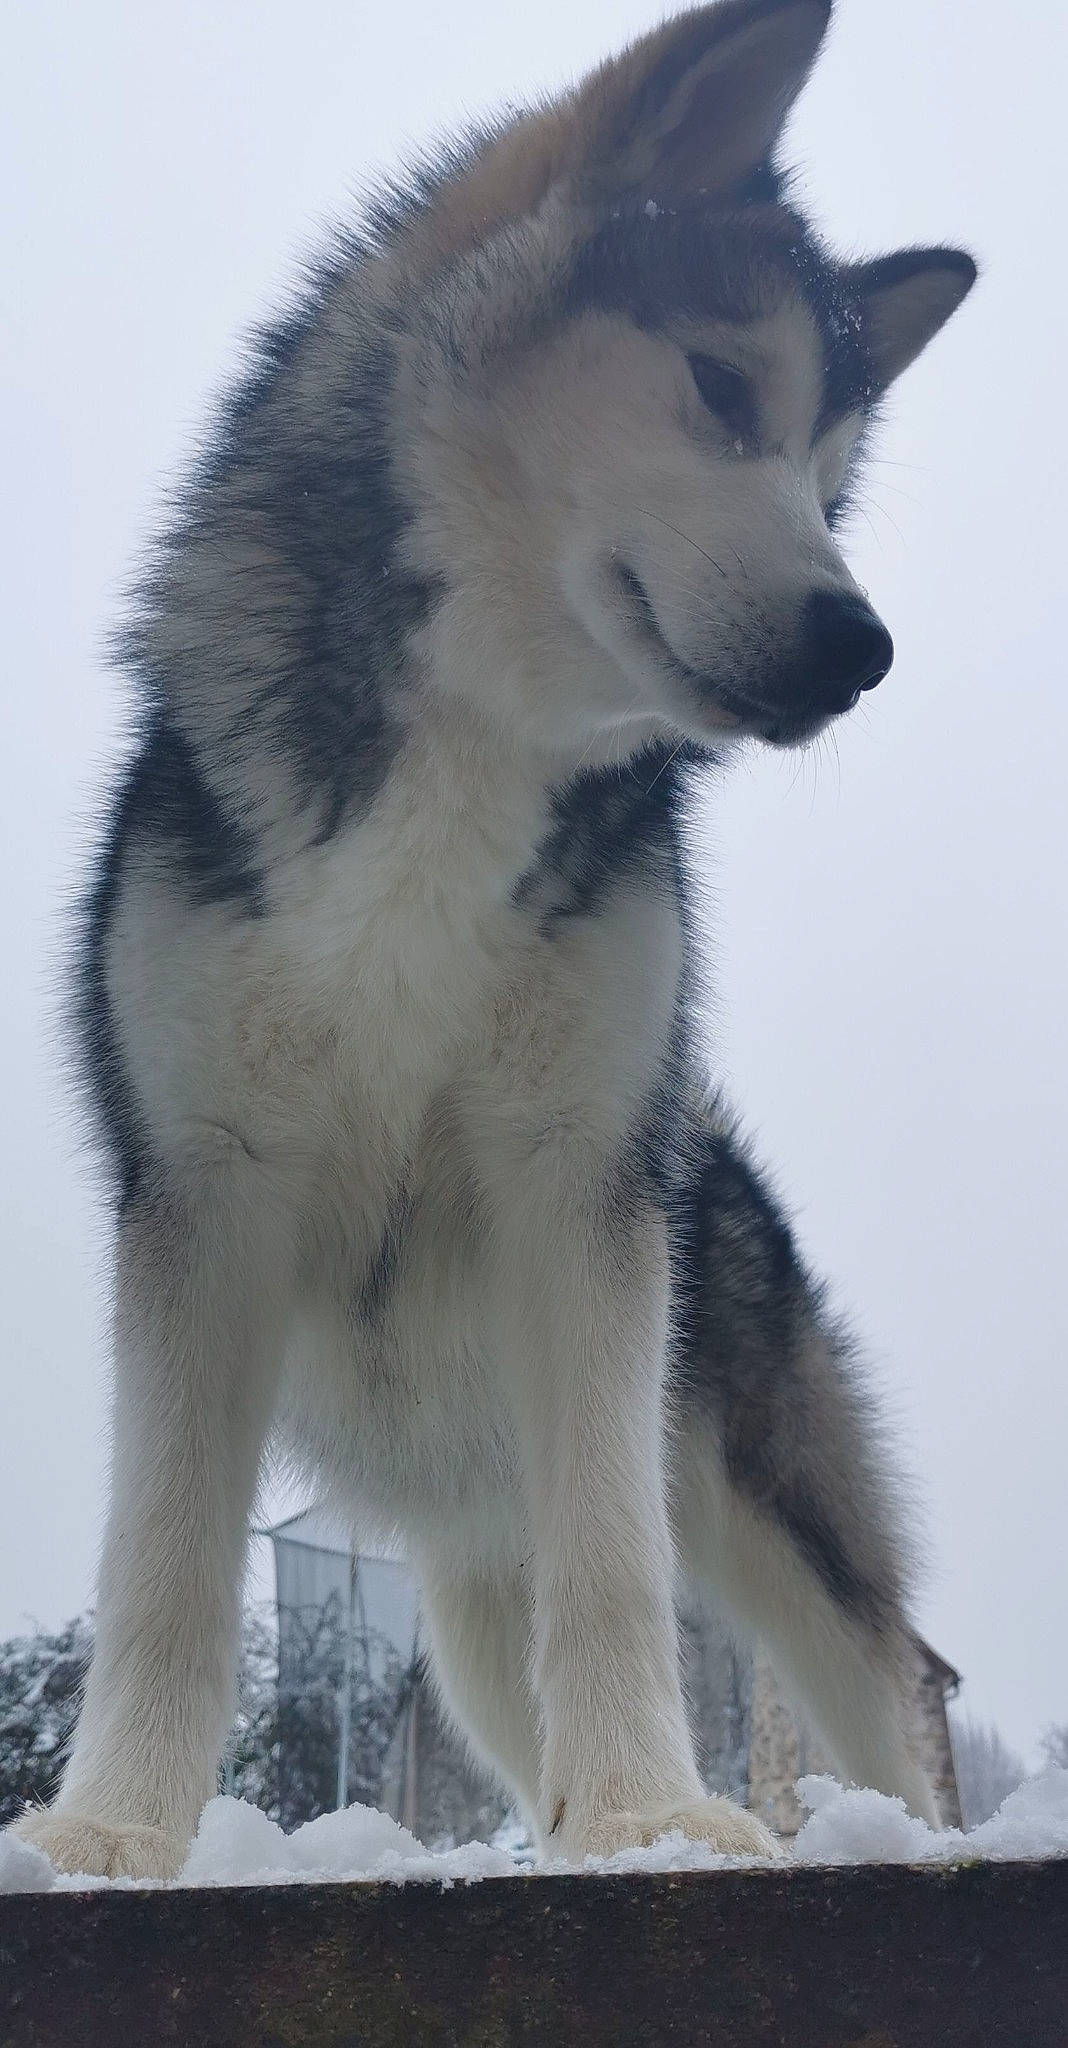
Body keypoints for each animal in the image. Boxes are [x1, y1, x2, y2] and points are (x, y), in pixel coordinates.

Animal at [13, 0, 975, 1878]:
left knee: (890, 1671)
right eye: (723, 393)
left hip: (758, 1477)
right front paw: (106, 1836)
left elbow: (614, 1570)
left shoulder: (577, 1188)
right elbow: (165, 1570)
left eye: (829, 478)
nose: (864, 646)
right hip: (467, 1601)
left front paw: (659, 1822)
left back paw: (897, 1844)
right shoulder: (203, 1198)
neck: (466, 758)